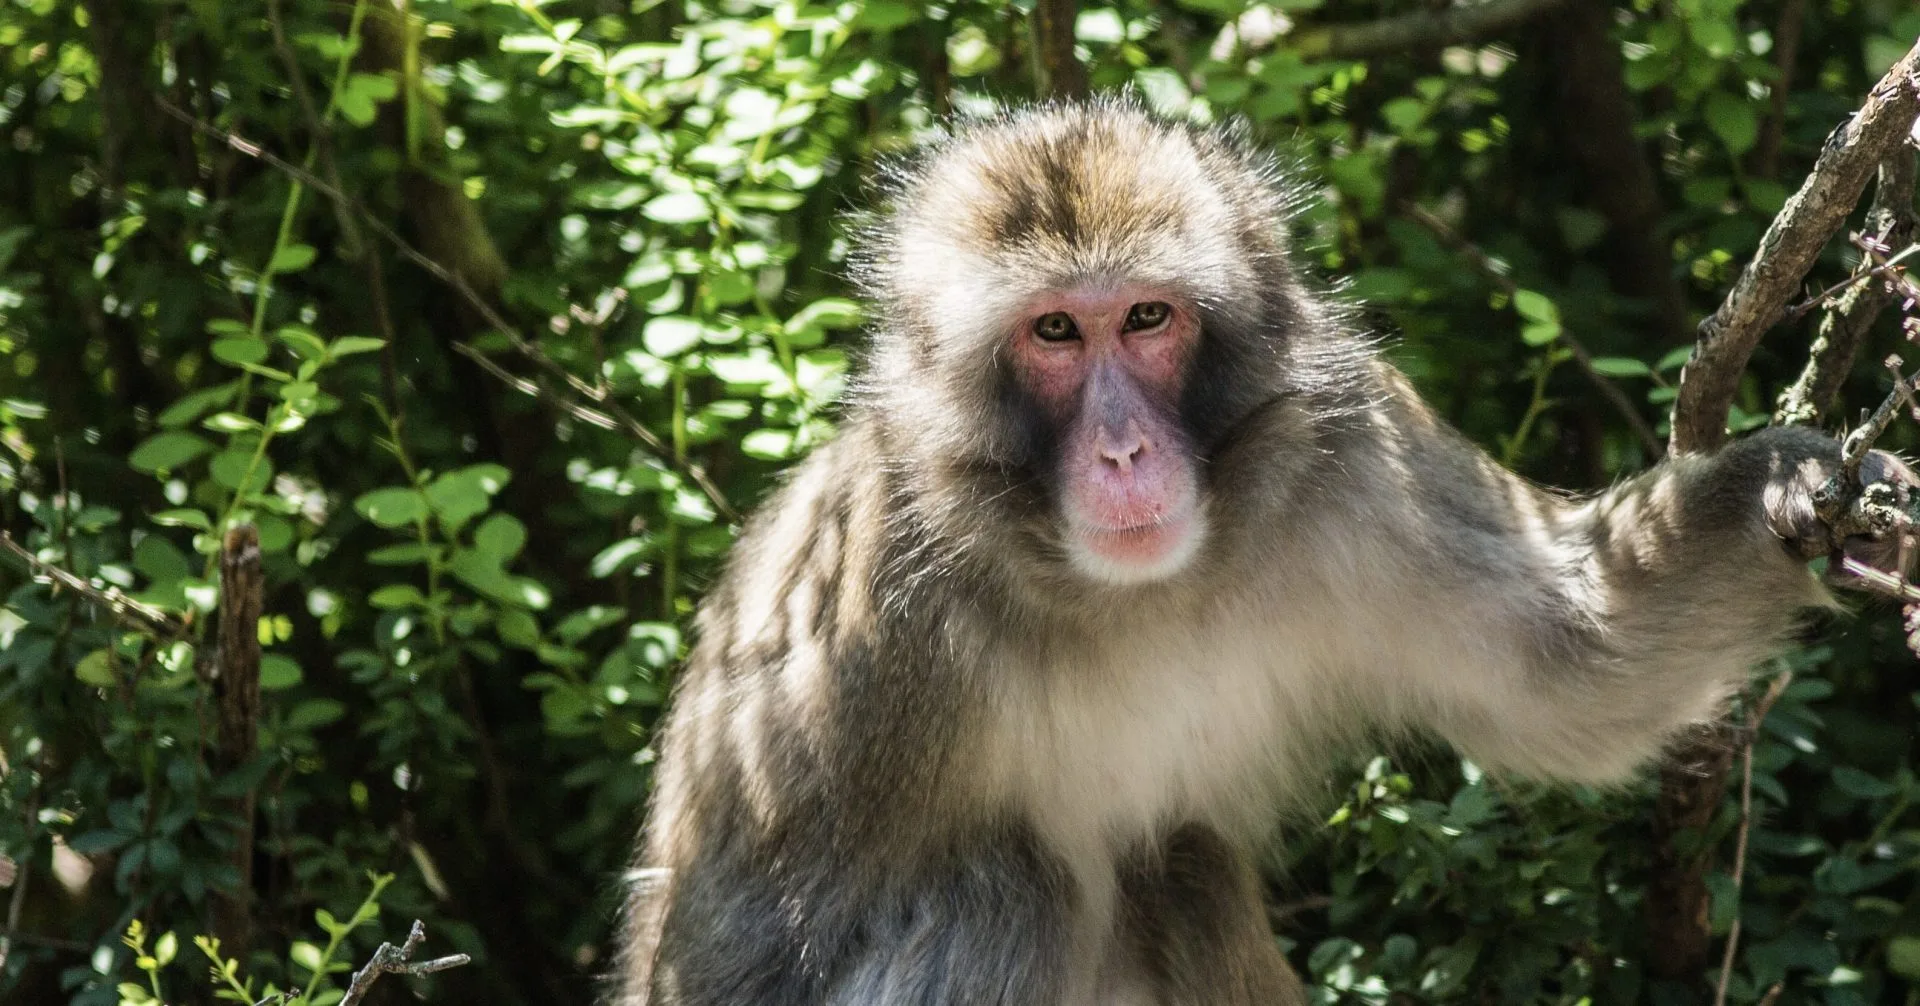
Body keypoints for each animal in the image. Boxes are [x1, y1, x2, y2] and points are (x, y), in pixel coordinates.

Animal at [614, 96, 1913, 1005]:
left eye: (1147, 318)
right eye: (1053, 332)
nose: (1126, 450)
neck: (1123, 596)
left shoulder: (1358, 458)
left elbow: (1576, 667)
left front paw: (1787, 487)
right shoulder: (866, 637)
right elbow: (728, 955)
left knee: (1178, 862)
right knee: (1010, 885)